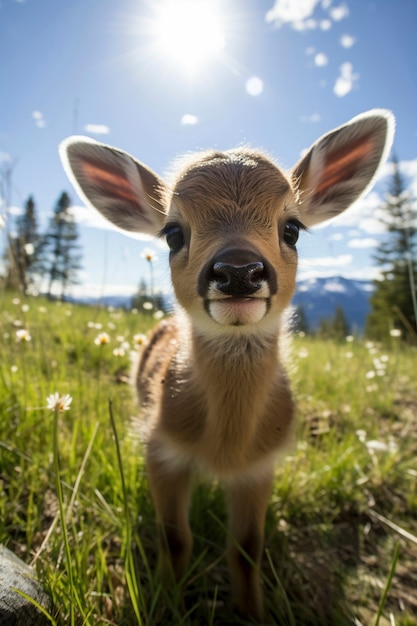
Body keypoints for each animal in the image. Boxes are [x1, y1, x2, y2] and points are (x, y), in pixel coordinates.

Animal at [59, 109, 394, 620]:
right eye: (173, 232)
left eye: (292, 228)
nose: (238, 270)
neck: (226, 448)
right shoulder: (162, 447)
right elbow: (175, 539)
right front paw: (165, 602)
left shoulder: (260, 467)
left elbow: (247, 547)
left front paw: (252, 611)